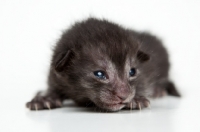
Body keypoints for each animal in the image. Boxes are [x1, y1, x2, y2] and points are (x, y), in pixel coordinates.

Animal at [25, 17, 180, 111]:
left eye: (132, 72)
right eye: (99, 74)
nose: (124, 95)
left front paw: (136, 99)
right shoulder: (54, 75)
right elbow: (52, 88)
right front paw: (44, 98)